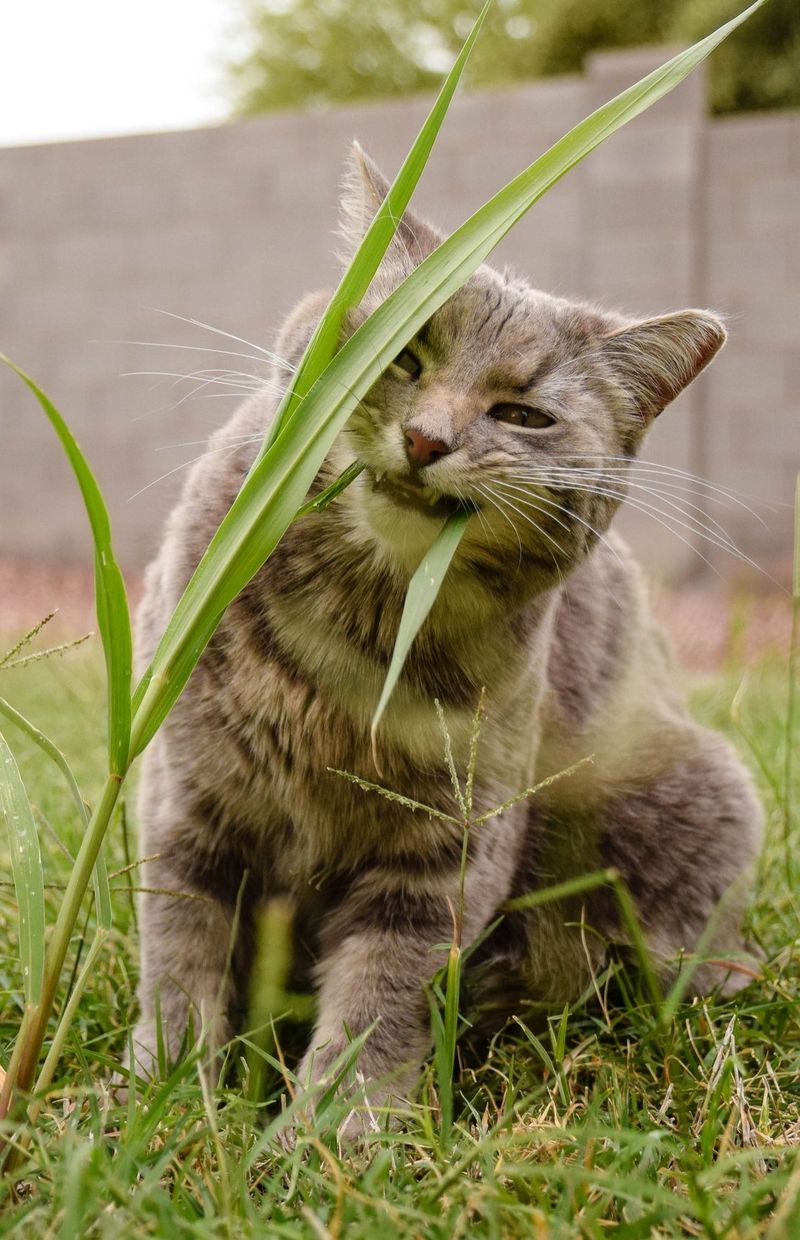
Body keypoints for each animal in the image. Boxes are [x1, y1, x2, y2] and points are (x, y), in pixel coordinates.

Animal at [130, 142, 759, 1135]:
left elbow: (379, 995)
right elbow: (179, 955)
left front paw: (330, 1136)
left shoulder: (443, 855)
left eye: (524, 415)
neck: (357, 628)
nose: (427, 439)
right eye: (402, 354)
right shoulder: (185, 801)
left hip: (695, 797)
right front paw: (167, 1100)